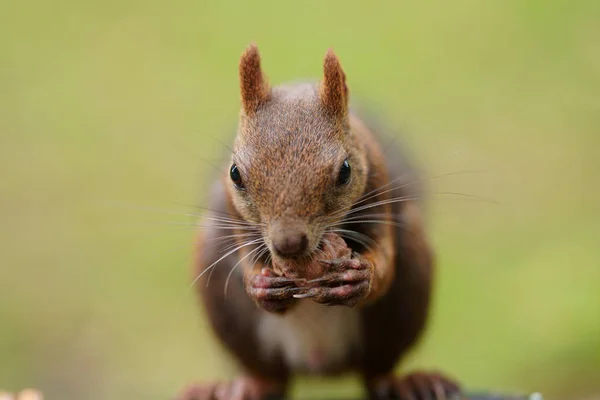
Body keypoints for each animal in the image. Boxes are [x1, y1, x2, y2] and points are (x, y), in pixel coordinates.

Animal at [176, 44, 462, 400]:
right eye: (235, 174)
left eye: (345, 171)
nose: (288, 244)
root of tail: (319, 361)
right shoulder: (234, 217)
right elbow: (246, 260)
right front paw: (260, 285)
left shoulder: (380, 188)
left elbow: (384, 263)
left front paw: (359, 277)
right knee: (270, 376)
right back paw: (238, 386)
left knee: (377, 371)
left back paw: (408, 382)